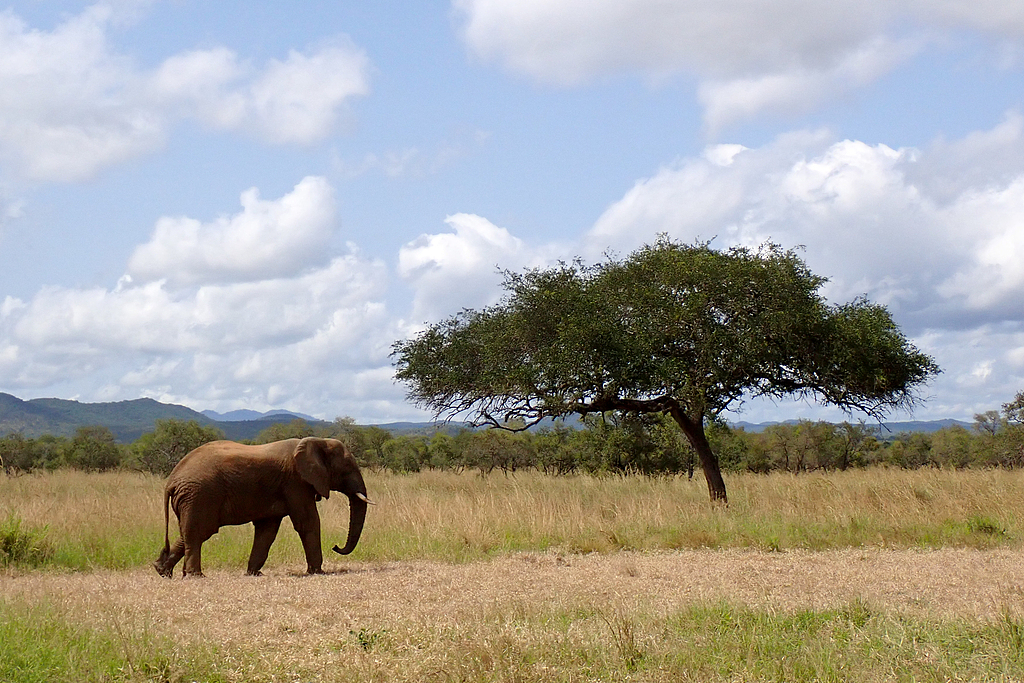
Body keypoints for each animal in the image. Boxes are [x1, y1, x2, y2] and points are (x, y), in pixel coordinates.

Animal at [153, 437, 373, 578]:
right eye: (346, 469)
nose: (335, 546)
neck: (317, 441)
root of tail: (171, 480)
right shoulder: (296, 482)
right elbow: (308, 522)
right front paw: (317, 572)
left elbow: (267, 531)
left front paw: (254, 573)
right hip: (200, 496)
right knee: (199, 532)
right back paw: (196, 576)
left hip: (191, 499)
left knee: (189, 533)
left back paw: (162, 571)